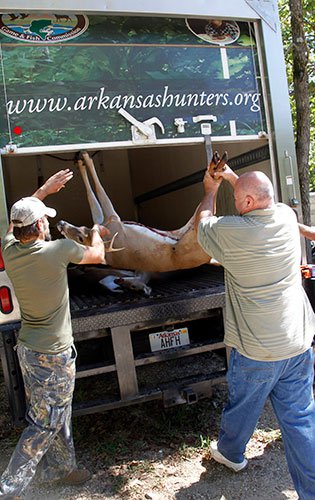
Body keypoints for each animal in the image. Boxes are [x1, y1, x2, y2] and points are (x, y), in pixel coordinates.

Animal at [56, 152, 225, 292]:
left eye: (80, 234)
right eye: (79, 239)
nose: (60, 224)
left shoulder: (108, 220)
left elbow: (93, 196)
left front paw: (81, 159)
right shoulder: (112, 219)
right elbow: (96, 193)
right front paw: (84, 157)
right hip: (200, 228)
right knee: (209, 196)